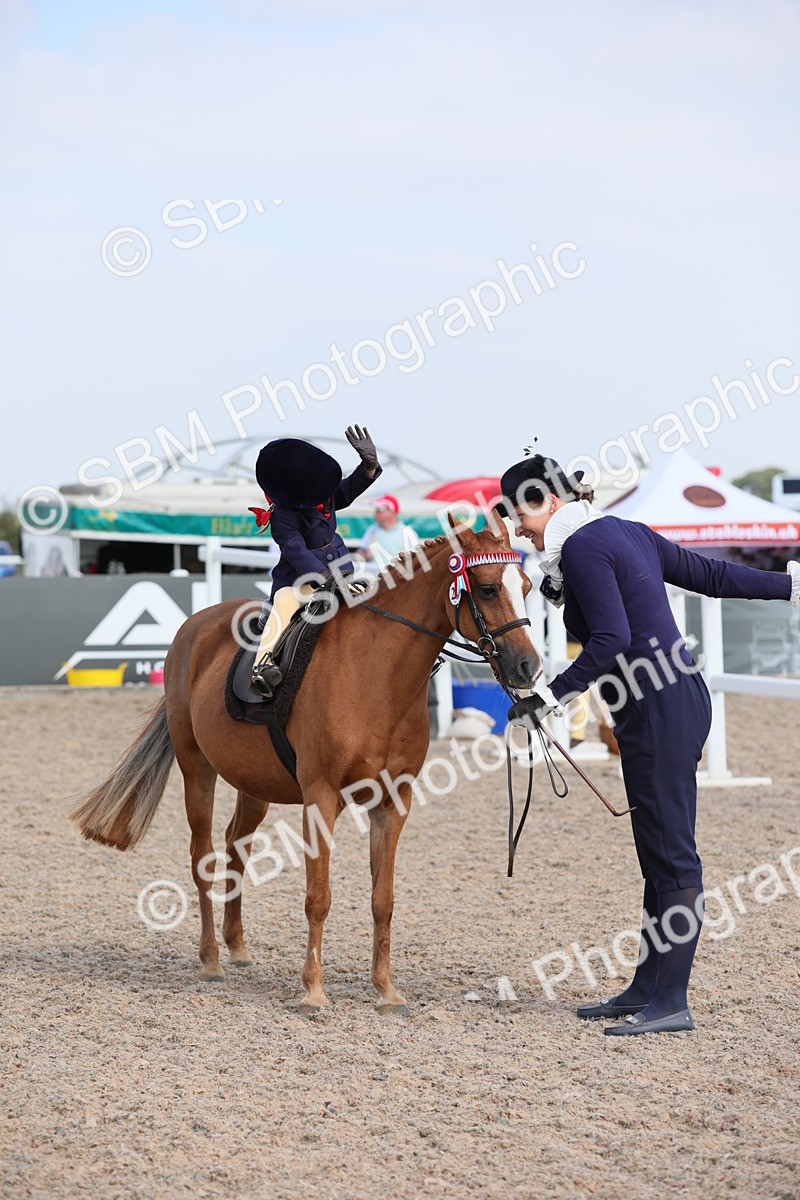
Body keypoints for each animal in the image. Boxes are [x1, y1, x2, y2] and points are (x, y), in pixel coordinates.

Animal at [70, 516, 542, 1013]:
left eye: (527, 584)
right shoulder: (320, 797)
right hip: (197, 769)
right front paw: (314, 990)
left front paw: (386, 990)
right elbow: (319, 896)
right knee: (203, 857)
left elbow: (383, 899)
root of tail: (194, 627)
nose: (528, 666)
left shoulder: (394, 801)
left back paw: (237, 947)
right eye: (487, 589)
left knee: (236, 847)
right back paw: (211, 959)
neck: (375, 673)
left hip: (252, 784)